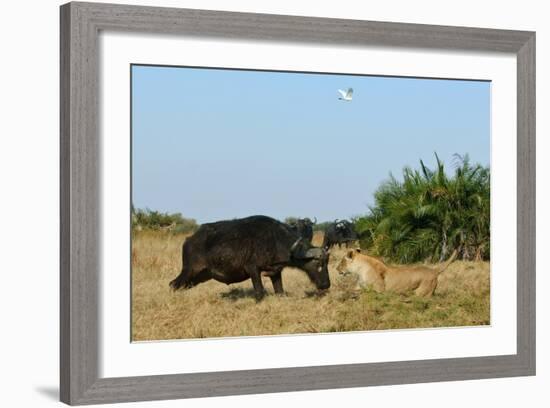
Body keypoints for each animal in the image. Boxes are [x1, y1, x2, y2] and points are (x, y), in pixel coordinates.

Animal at [170, 215, 330, 302]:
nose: (326, 285)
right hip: (189, 271)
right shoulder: (253, 270)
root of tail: (189, 240)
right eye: (318, 263)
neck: (274, 239)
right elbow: (259, 293)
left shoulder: (275, 272)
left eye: (327, 262)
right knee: (173, 284)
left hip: (199, 277)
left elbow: (280, 291)